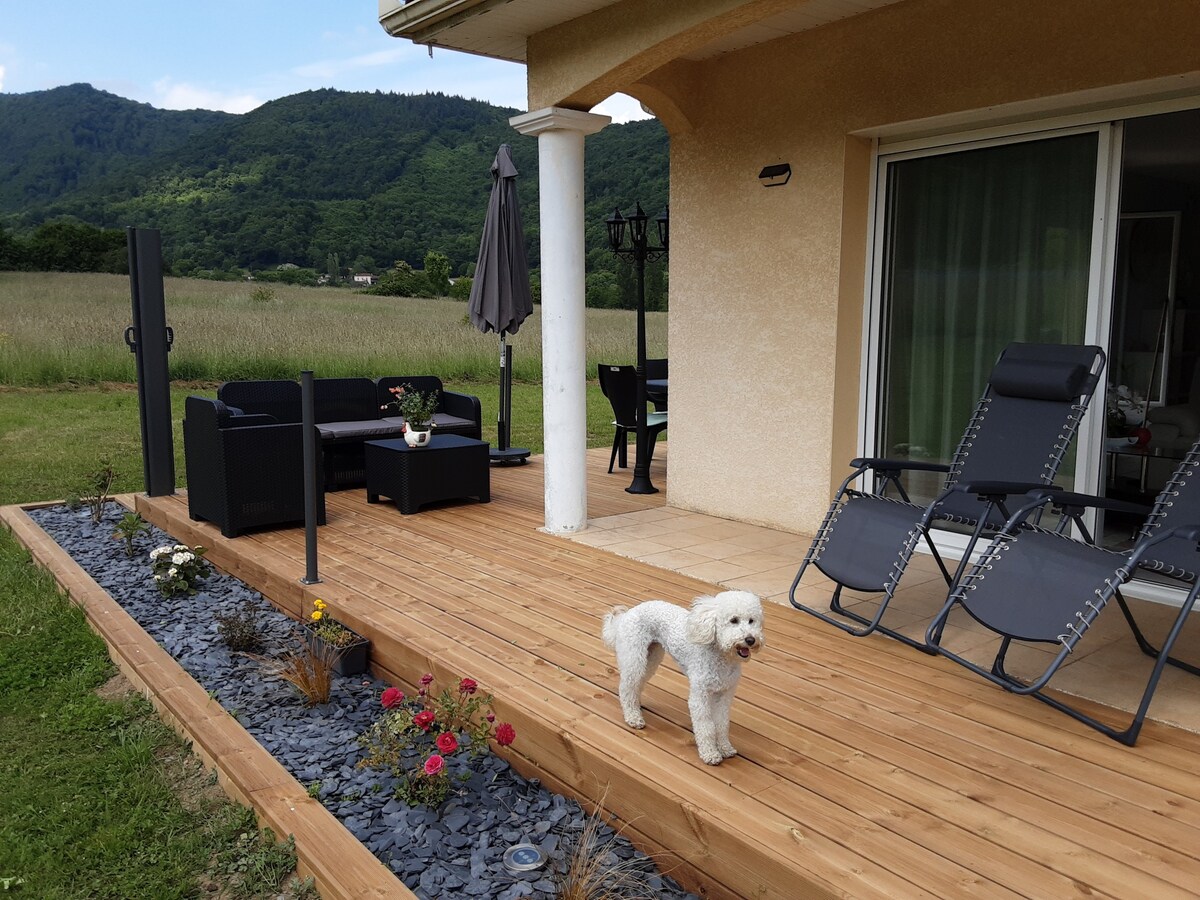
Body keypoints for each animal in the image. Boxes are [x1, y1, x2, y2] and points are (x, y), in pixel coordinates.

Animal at [604, 595, 763, 763]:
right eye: (733, 620)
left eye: (752, 621)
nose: (751, 640)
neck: (722, 657)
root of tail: (628, 614)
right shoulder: (700, 695)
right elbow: (706, 727)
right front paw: (710, 754)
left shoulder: (725, 694)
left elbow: (722, 724)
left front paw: (725, 748)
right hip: (635, 657)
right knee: (626, 688)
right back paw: (633, 717)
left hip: (651, 657)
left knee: (636, 685)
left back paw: (636, 706)